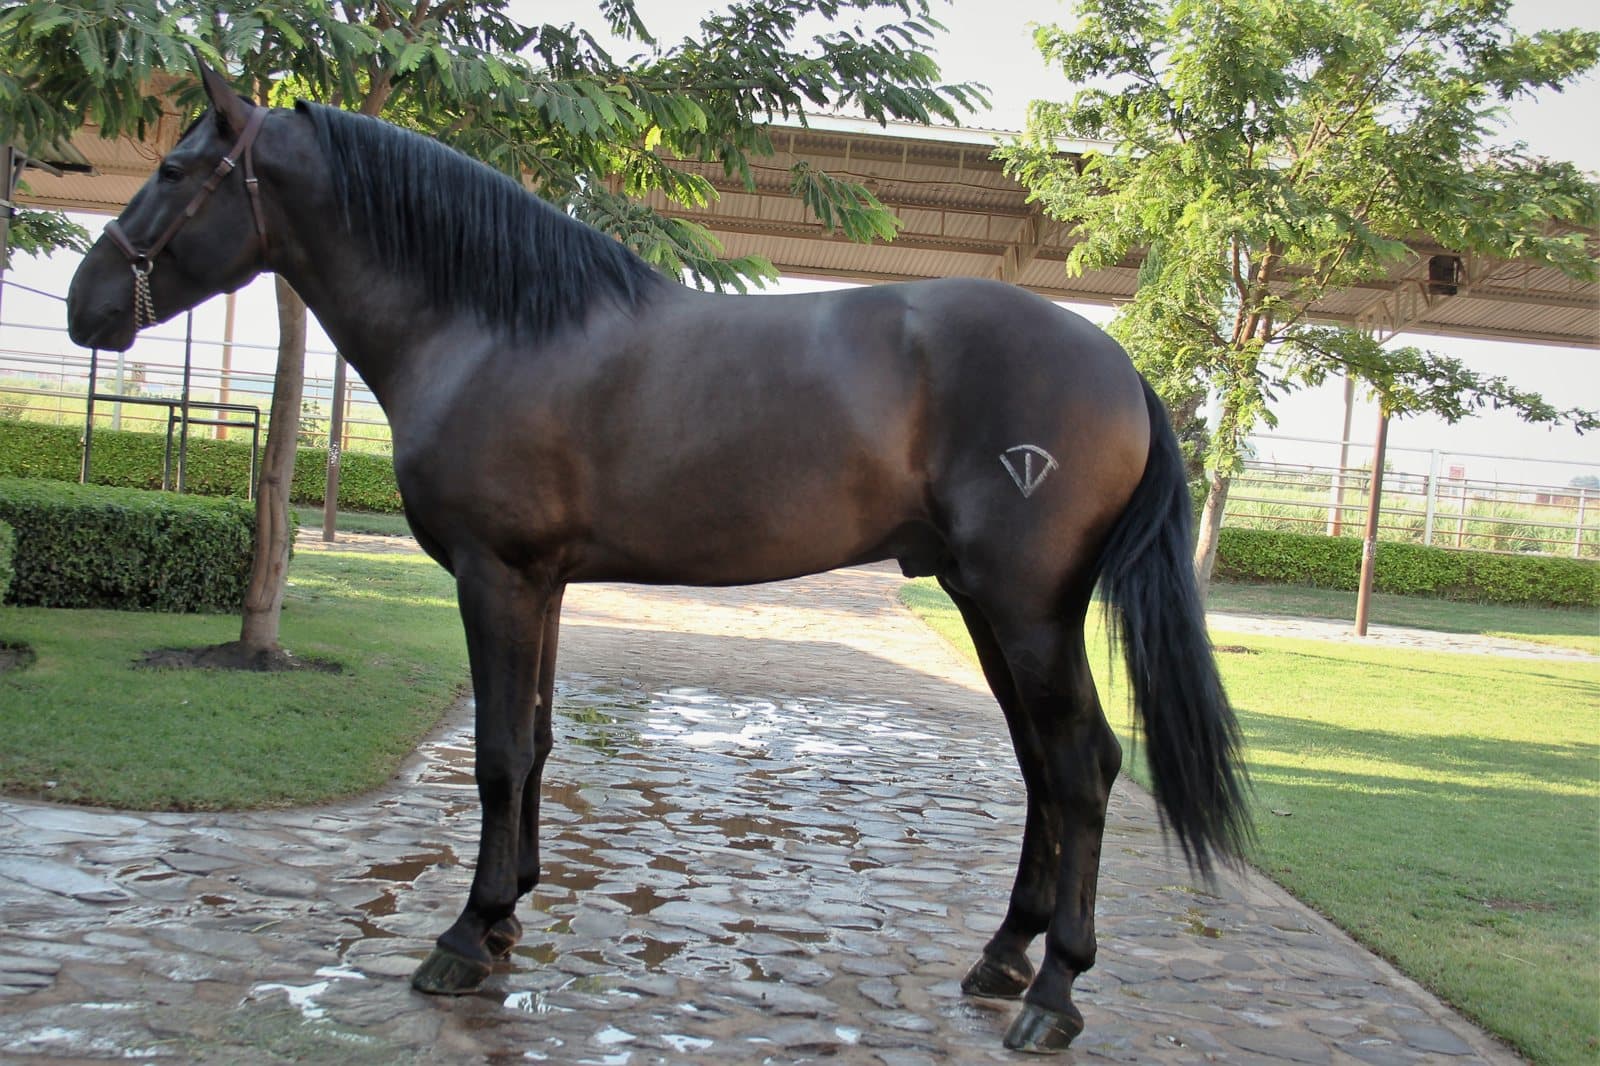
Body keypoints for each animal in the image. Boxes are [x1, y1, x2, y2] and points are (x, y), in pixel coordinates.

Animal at [66, 63, 1250, 1054]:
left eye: (175, 172)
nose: (87, 305)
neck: (492, 327)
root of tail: (1118, 366)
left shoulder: (495, 576)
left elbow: (497, 754)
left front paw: (463, 937)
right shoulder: (540, 584)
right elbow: (535, 744)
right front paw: (508, 917)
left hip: (1026, 607)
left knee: (1082, 766)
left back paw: (1054, 995)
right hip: (986, 604)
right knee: (1044, 769)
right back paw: (1003, 957)